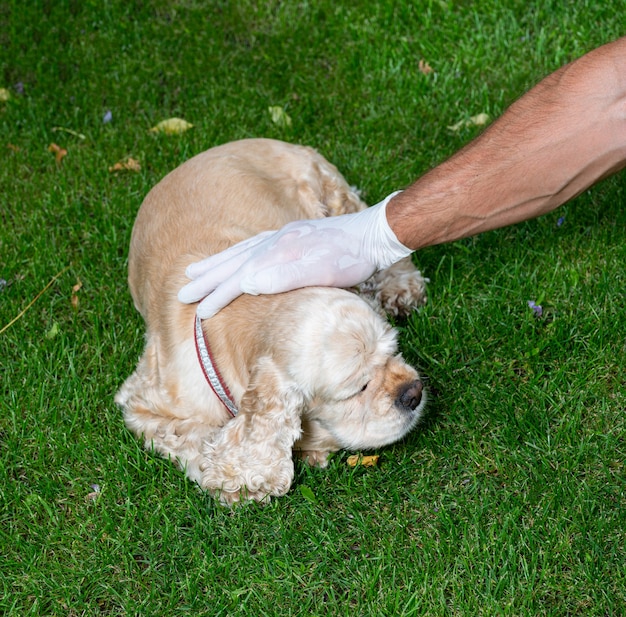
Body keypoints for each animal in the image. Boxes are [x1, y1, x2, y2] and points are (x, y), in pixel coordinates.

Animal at [114, 137, 426, 502]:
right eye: (359, 387)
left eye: (393, 352)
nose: (414, 392)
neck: (246, 308)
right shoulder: (142, 406)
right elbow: (195, 439)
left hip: (332, 197)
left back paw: (399, 288)